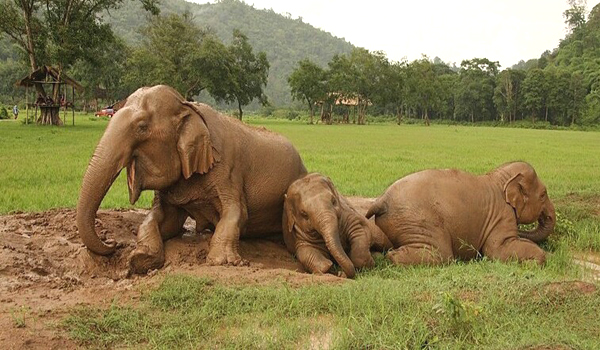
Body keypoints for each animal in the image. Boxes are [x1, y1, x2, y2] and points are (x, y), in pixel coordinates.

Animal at [77, 85, 308, 274]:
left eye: (142, 127)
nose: (111, 242)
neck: (187, 107)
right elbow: (165, 220)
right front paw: (140, 259)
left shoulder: (227, 169)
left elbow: (237, 212)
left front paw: (224, 262)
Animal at [366, 161, 556, 266]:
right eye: (543, 194)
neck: (500, 178)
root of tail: (381, 200)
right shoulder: (503, 214)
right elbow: (497, 250)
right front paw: (536, 262)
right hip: (418, 221)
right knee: (442, 254)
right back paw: (390, 257)